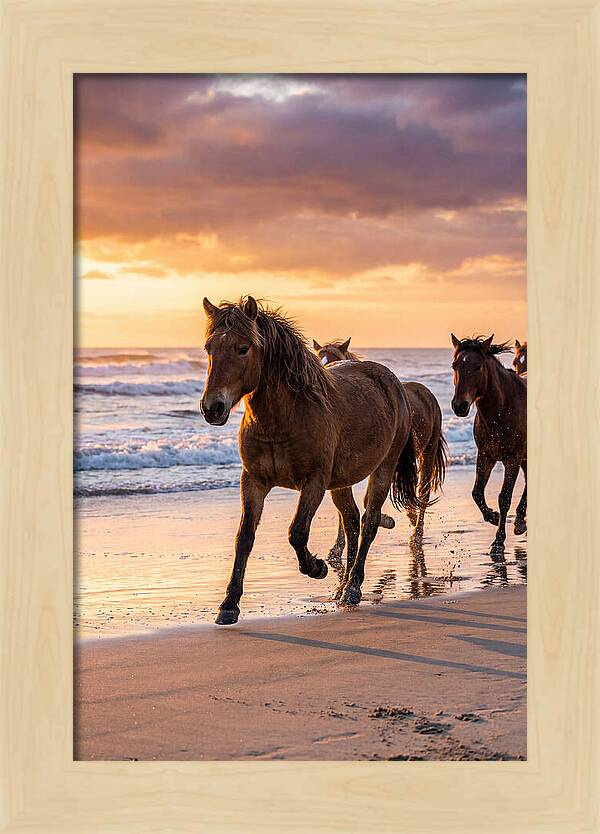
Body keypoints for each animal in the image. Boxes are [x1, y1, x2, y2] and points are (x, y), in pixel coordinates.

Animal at [200, 297, 420, 623]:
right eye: (209, 348)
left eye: (243, 348)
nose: (212, 408)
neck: (284, 417)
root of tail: (393, 384)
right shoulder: (253, 482)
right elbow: (245, 538)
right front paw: (229, 605)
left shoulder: (313, 483)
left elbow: (297, 532)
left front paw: (317, 568)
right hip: (340, 483)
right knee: (352, 521)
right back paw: (342, 589)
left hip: (382, 469)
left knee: (368, 522)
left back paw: (352, 587)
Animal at [313, 337, 447, 543]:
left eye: (335, 359)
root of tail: (426, 393)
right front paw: (339, 544)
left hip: (427, 453)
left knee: (422, 492)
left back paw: (416, 532)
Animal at [450, 334, 527, 552]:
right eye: (454, 366)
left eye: (478, 367)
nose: (459, 406)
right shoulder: (485, 456)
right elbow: (477, 493)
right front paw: (492, 516)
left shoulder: (513, 458)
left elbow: (504, 497)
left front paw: (499, 541)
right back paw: (520, 521)